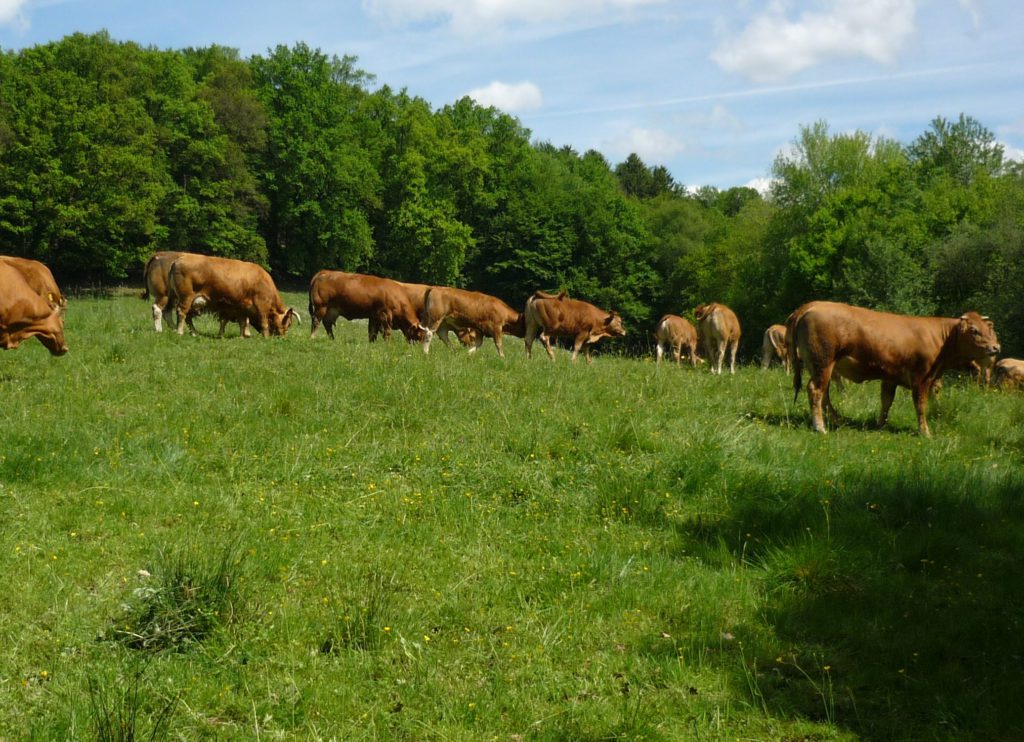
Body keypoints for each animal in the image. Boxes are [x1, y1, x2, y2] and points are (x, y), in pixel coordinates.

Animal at [169, 252, 299, 337]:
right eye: (288, 323)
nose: (282, 337)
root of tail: (180, 258)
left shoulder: (241, 308)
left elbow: (242, 322)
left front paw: (242, 336)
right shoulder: (262, 306)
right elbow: (264, 323)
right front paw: (265, 337)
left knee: (188, 317)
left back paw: (194, 333)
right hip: (186, 297)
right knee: (182, 312)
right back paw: (180, 331)